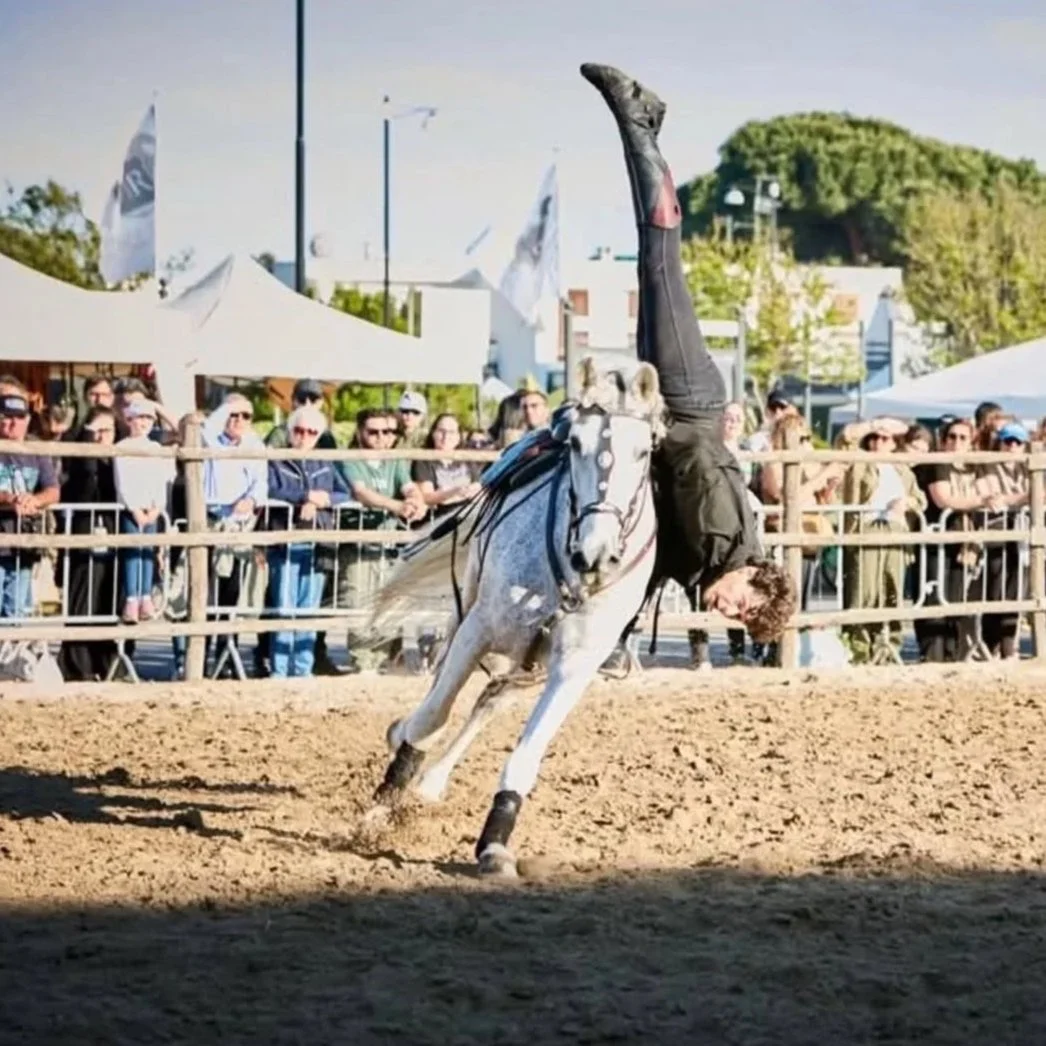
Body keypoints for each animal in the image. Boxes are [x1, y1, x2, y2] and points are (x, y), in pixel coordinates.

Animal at [361, 356, 664, 878]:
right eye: (576, 443)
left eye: (643, 451)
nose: (596, 554)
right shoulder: (478, 628)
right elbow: (434, 715)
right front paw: (383, 803)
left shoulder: (572, 666)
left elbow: (525, 755)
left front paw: (494, 844)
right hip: (474, 623)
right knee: (442, 696)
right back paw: (407, 751)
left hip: (528, 663)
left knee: (489, 701)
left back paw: (433, 782)